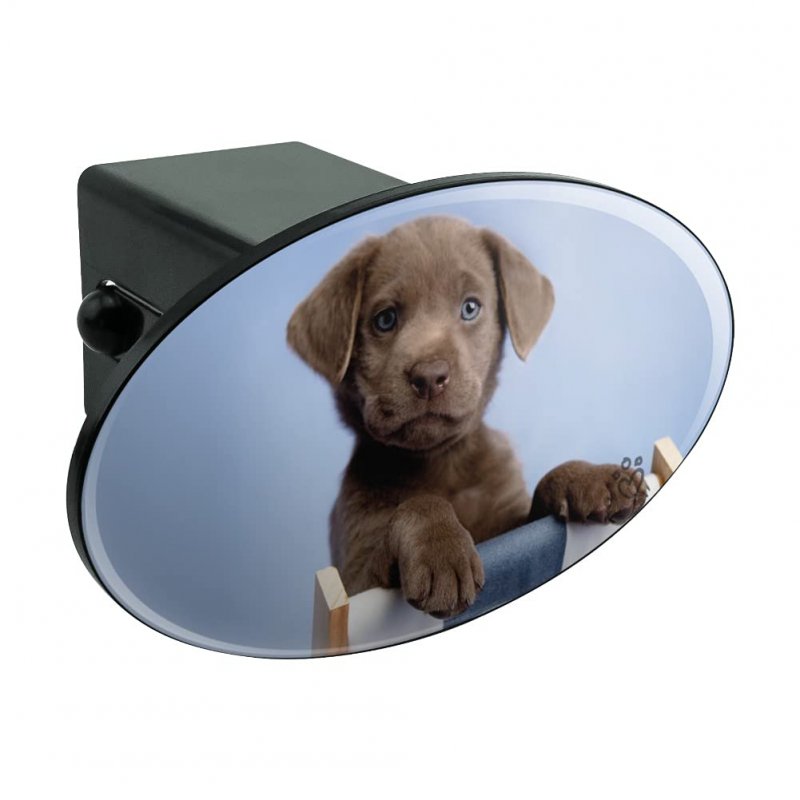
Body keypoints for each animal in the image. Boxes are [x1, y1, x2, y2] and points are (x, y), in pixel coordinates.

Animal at [288, 216, 645, 618]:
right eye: (385, 320)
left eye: (471, 308)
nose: (429, 376)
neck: (443, 466)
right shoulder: (357, 578)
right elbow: (419, 504)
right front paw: (442, 551)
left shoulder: (513, 527)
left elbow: (541, 494)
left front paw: (592, 478)